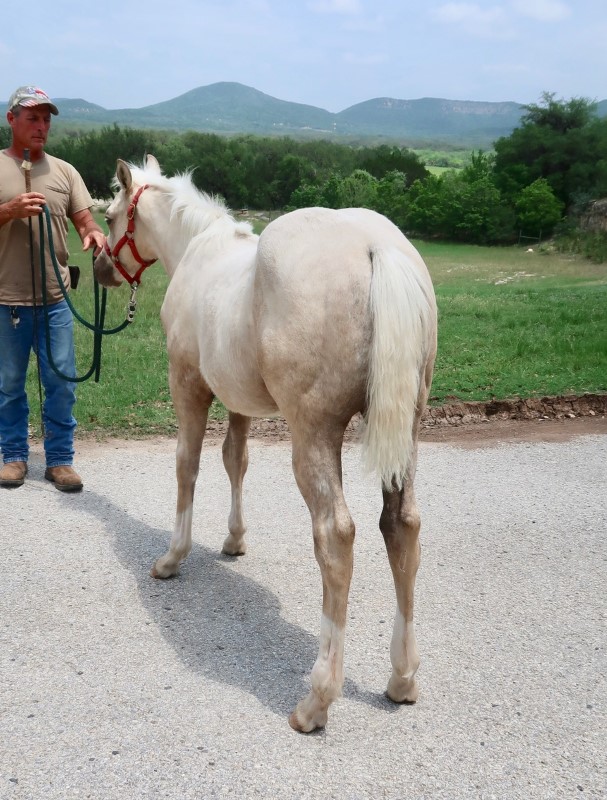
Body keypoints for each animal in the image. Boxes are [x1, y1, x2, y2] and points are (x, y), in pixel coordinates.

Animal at [94, 155, 436, 732]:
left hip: (314, 434)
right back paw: (402, 679)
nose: (97, 268)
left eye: (114, 215)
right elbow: (236, 460)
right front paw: (234, 540)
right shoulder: (239, 400)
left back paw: (317, 700)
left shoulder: (188, 383)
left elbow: (187, 465)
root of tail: (377, 246)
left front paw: (172, 558)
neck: (199, 249)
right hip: (406, 433)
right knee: (402, 527)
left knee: (335, 536)